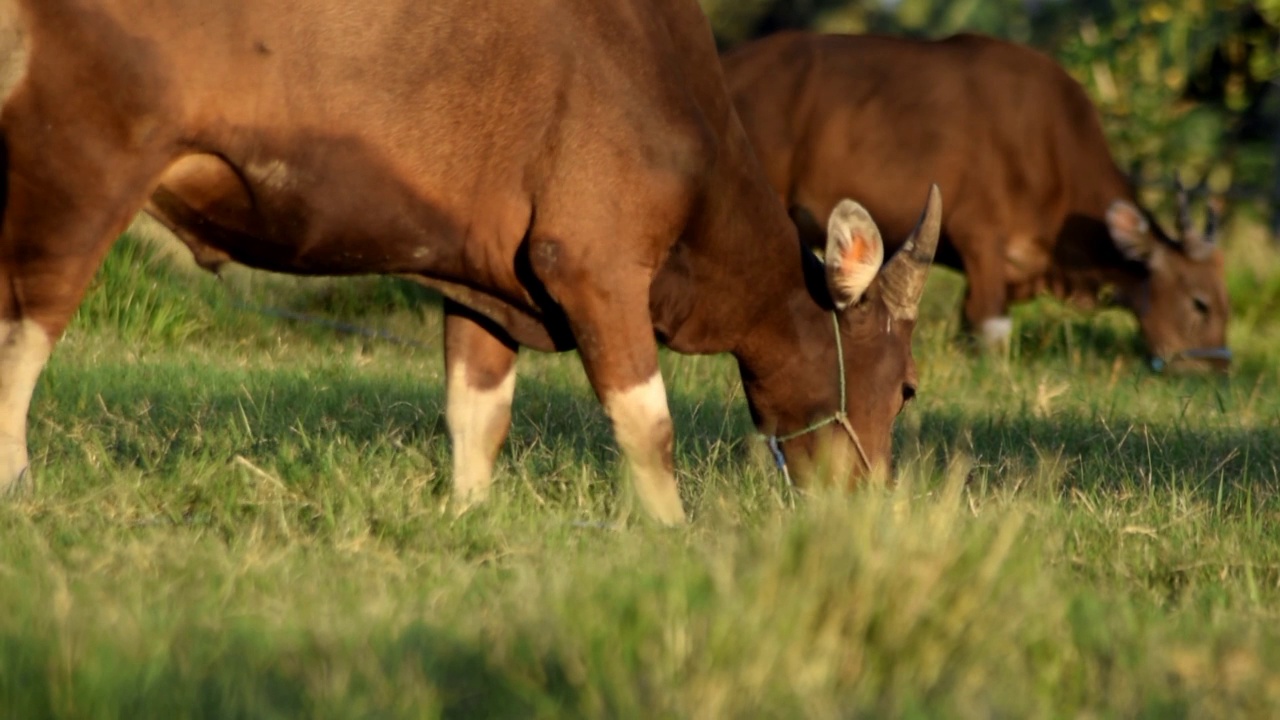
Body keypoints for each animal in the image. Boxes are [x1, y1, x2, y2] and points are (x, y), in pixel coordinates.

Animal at [0, 1, 942, 520]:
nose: (870, 510)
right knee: (26, 329)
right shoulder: (591, 263)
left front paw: (468, 517)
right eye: (905, 387)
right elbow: (649, 423)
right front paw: (672, 532)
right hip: (84, 160)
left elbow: (476, 414)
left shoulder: (486, 283)